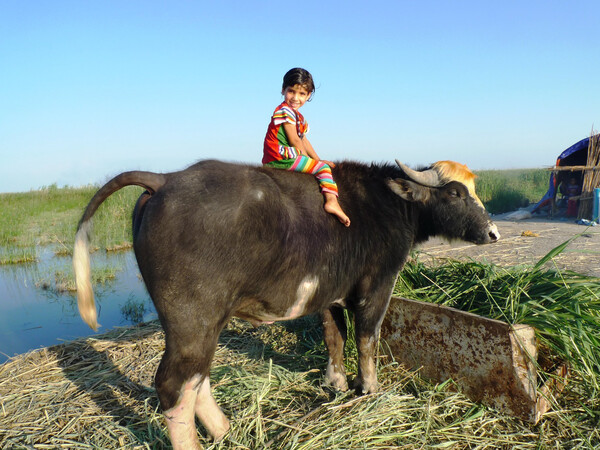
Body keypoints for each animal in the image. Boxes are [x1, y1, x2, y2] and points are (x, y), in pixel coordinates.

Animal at [72, 158, 500, 446]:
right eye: (455, 192)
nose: (493, 232)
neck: (387, 205)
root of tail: (165, 179)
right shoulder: (376, 287)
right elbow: (367, 340)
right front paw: (369, 389)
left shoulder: (329, 294)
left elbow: (334, 338)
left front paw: (336, 383)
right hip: (193, 317)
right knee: (174, 384)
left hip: (195, 324)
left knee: (196, 377)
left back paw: (225, 429)